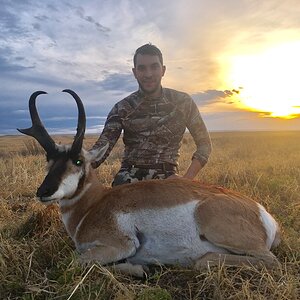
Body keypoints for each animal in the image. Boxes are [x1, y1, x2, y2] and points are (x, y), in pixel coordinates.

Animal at [18, 90, 282, 278]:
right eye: (48, 159)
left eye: (78, 160)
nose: (44, 191)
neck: (93, 205)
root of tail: (263, 214)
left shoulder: (120, 245)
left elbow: (74, 262)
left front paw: (139, 269)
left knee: (267, 261)